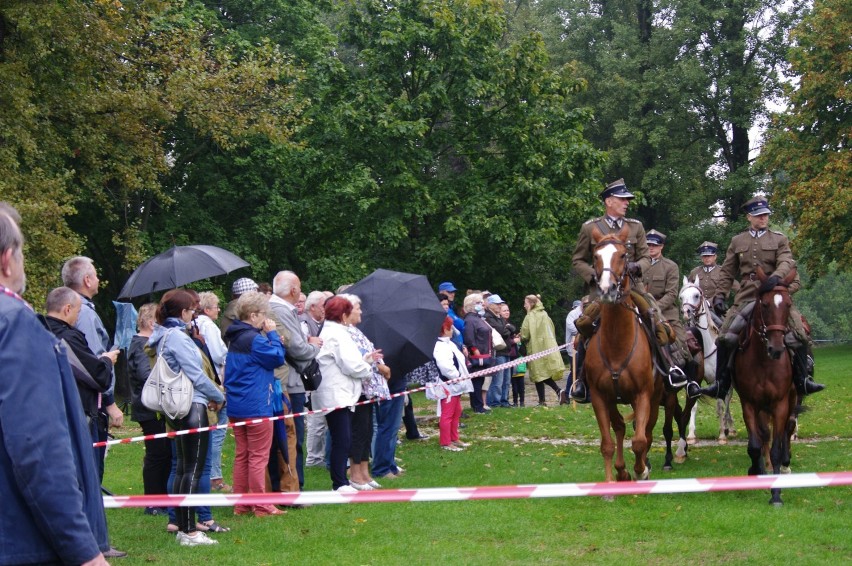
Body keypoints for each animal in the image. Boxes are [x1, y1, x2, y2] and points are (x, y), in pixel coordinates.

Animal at [584, 226, 664, 484]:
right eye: (596, 256)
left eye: (622, 255)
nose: (607, 290)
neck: (617, 343)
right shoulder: (599, 396)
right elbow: (607, 443)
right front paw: (612, 480)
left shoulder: (643, 395)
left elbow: (639, 440)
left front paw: (641, 469)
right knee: (619, 426)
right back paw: (621, 471)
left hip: (655, 397)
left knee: (646, 431)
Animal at [680, 278, 732, 450]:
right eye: (681, 296)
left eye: (697, 295)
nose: (686, 312)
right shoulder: (696, 379)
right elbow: (694, 404)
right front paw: (691, 435)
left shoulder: (719, 380)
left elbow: (720, 405)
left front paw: (722, 435)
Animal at [736, 268, 804, 508]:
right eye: (764, 304)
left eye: (788, 304)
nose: (776, 348)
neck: (764, 362)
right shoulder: (749, 403)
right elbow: (755, 444)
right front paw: (756, 470)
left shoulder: (780, 404)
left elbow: (776, 447)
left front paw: (776, 494)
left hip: (792, 399)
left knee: (786, 430)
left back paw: (785, 462)